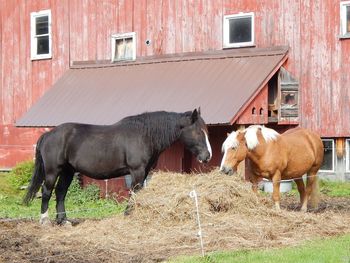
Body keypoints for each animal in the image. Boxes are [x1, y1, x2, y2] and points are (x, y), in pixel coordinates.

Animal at [24, 109, 212, 225]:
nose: (207, 156)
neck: (145, 135)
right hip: (52, 171)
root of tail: (49, 134)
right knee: (47, 192)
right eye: (198, 132)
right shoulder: (137, 171)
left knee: (60, 193)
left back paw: (63, 221)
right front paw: (128, 214)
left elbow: (138, 193)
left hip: (68, 171)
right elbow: (134, 192)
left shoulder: (144, 172)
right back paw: (45, 221)